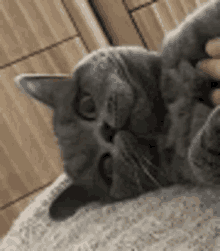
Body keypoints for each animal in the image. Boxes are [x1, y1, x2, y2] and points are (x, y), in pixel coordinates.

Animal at [15, 0, 220, 220]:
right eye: (107, 167)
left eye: (86, 105)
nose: (108, 131)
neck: (169, 107)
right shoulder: (190, 166)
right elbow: (198, 158)